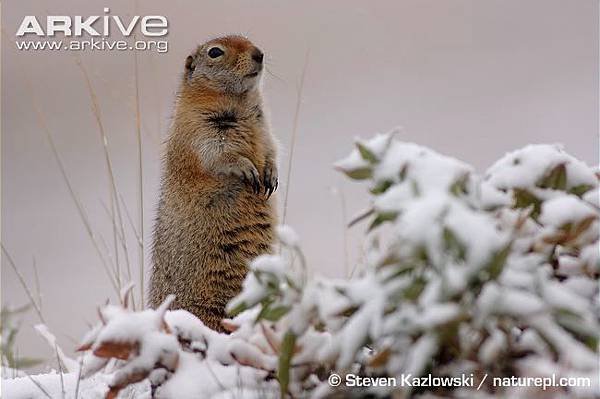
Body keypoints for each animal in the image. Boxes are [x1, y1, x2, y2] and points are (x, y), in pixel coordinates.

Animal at [151, 36, 280, 332]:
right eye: (215, 52)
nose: (259, 54)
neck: (239, 101)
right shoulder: (199, 128)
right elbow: (217, 153)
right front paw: (247, 169)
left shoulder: (265, 127)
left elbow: (271, 148)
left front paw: (270, 175)